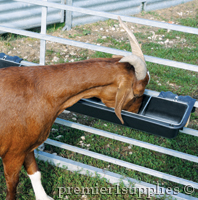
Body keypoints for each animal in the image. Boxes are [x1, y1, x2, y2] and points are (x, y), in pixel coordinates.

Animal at [0, 17, 149, 200]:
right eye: (137, 94)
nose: (136, 111)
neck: (38, 90)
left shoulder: (27, 145)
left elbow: (35, 172)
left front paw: (44, 197)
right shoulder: (12, 153)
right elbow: (12, 185)